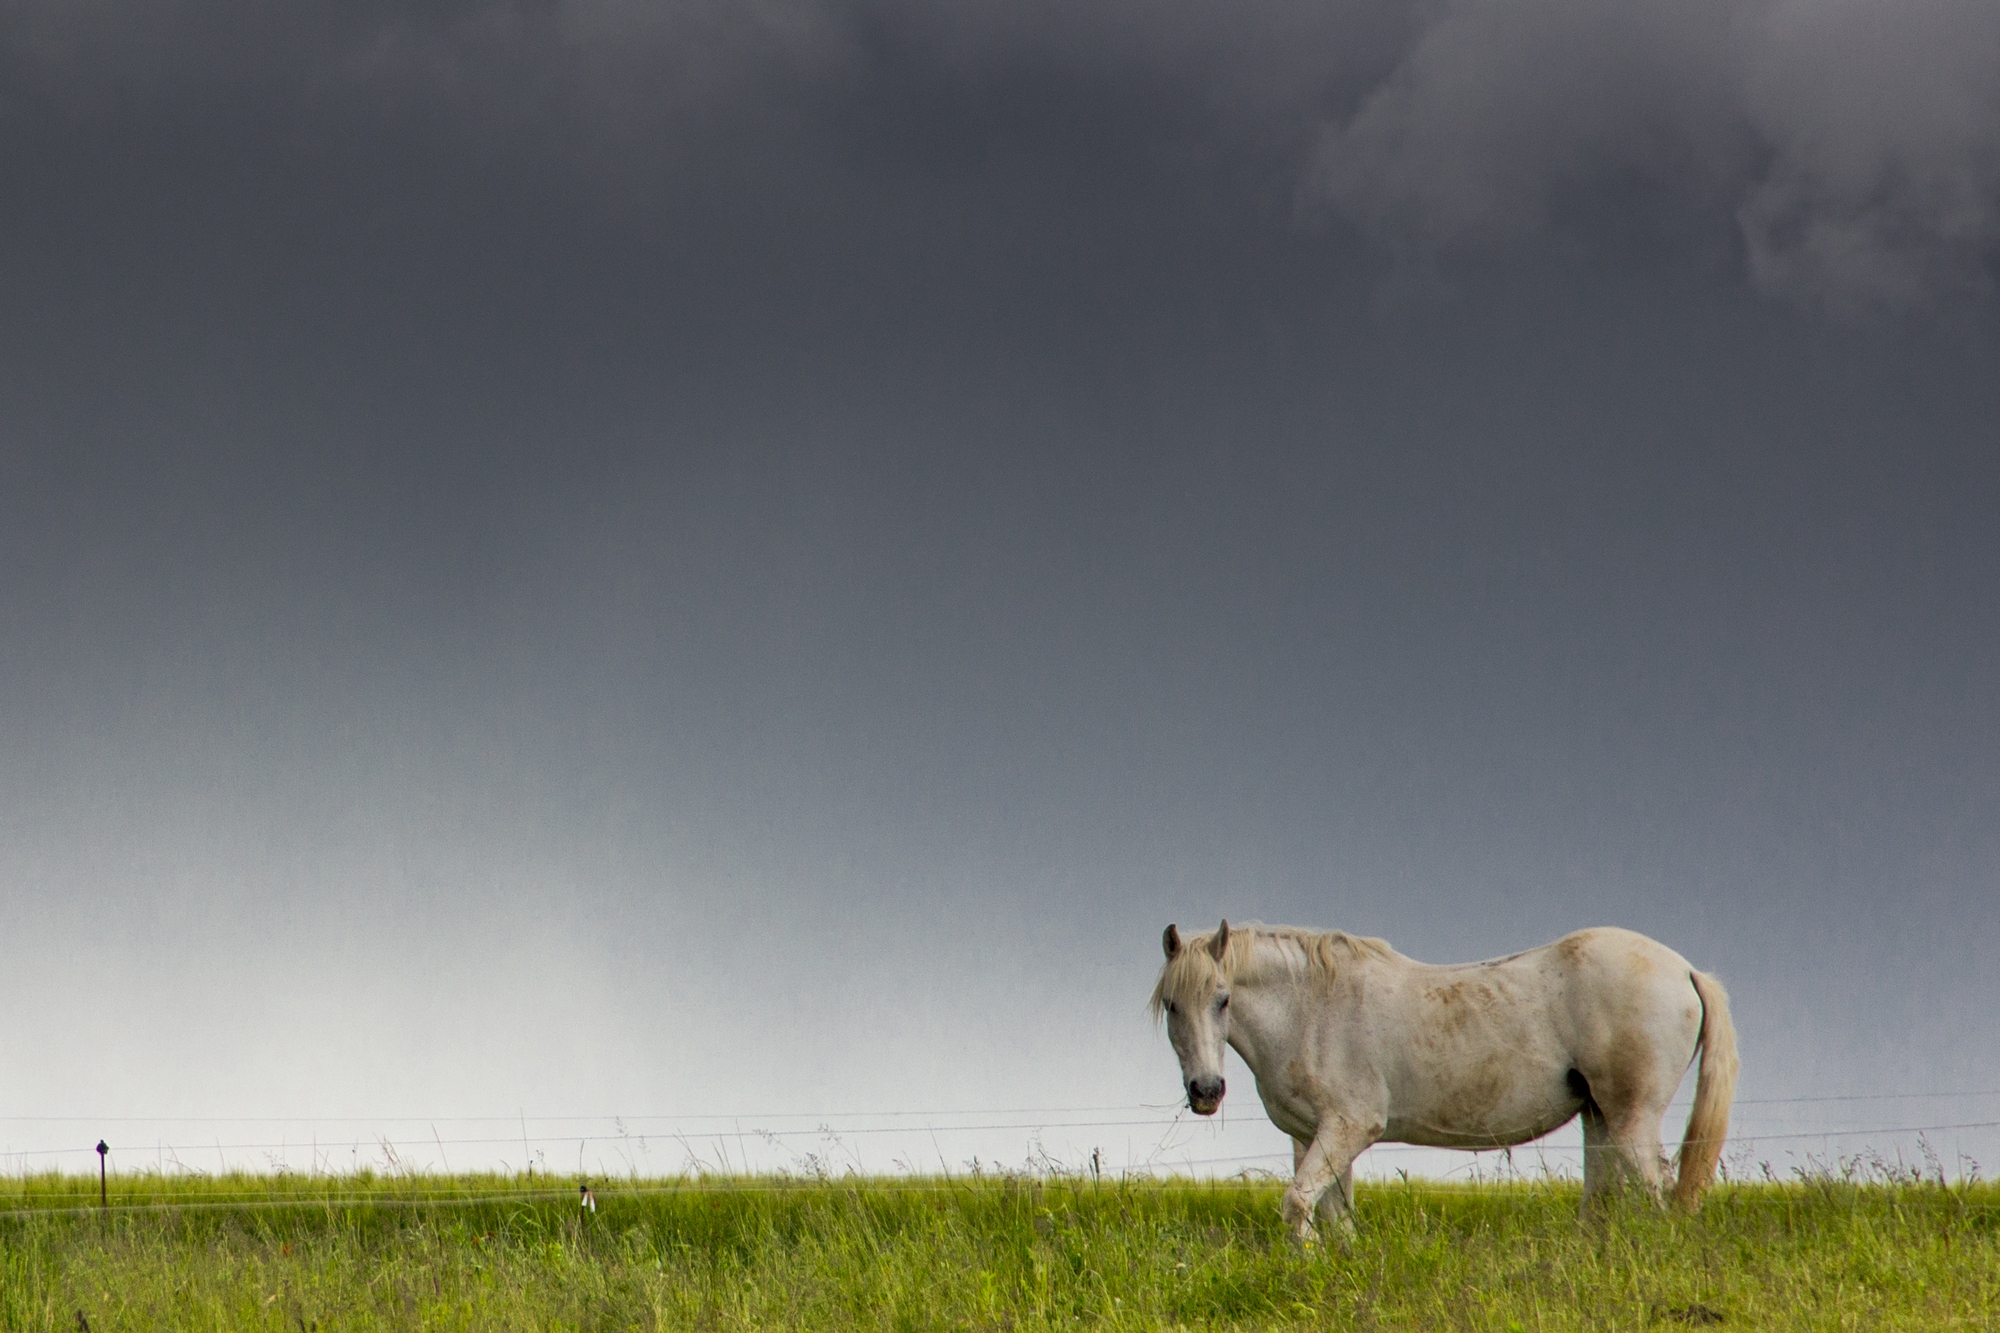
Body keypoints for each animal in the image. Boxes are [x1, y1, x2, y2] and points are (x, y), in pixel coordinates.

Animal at [1160, 920, 1736, 1232]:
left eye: (1223, 999)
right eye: (1171, 1005)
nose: (1206, 1092)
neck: (1310, 1010)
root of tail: (1685, 970)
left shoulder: (1348, 1128)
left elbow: (1297, 1202)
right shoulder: (1312, 1137)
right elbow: (1333, 1215)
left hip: (1633, 1117)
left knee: (1658, 1191)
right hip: (1598, 1115)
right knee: (1602, 1197)